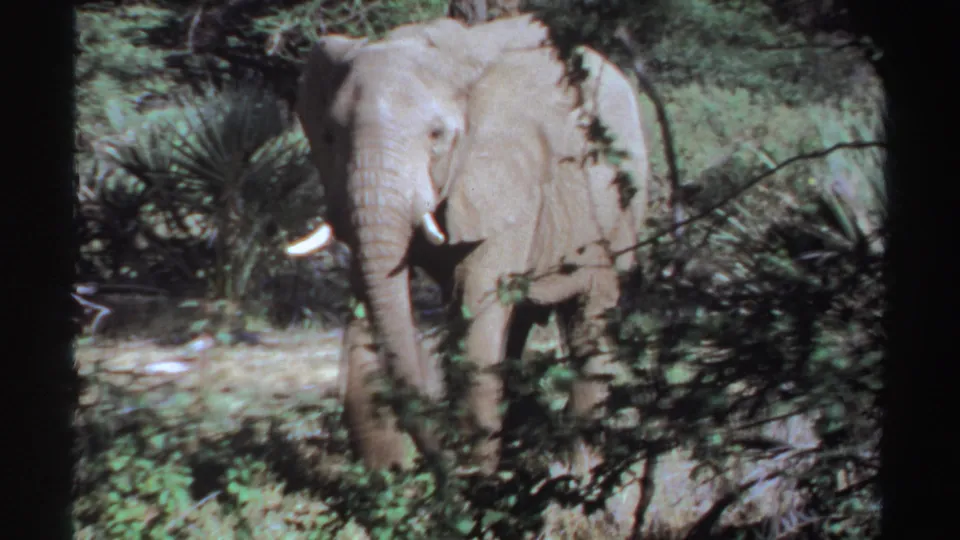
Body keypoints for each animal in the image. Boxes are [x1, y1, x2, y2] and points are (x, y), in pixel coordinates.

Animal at [288, 14, 661, 477]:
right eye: (329, 137)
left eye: (436, 134)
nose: (438, 462)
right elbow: (366, 309)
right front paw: (388, 479)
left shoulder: (506, 180)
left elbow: (477, 310)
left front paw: (473, 482)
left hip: (621, 208)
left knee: (589, 315)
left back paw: (578, 467)